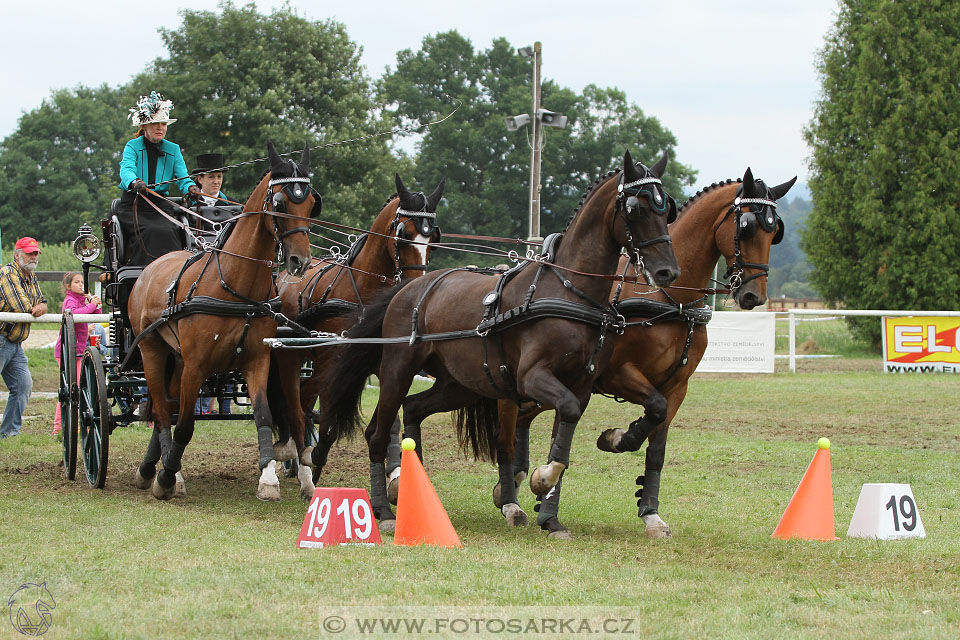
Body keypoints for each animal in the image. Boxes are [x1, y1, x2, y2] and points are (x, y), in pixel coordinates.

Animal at [126, 140, 316, 500]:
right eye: (280, 202)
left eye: (312, 203)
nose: (300, 261)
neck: (236, 287)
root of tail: (149, 269)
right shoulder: (197, 365)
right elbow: (185, 425)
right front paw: (166, 477)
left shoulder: (257, 360)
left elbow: (263, 414)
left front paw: (268, 478)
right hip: (152, 351)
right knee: (162, 413)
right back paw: (160, 473)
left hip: (178, 361)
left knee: (168, 406)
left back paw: (153, 466)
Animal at [270, 174, 446, 500]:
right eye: (403, 234)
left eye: (434, 241)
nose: (415, 289)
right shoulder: (336, 361)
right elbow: (329, 422)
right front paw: (316, 460)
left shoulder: (384, 365)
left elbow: (389, 423)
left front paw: (395, 479)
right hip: (293, 355)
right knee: (295, 405)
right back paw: (298, 460)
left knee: (305, 398)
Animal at [318, 151, 680, 528]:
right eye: (637, 209)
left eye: (665, 209)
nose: (668, 271)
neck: (570, 291)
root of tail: (409, 287)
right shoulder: (531, 377)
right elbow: (562, 416)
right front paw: (541, 479)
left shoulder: (582, 383)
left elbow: (579, 428)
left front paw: (615, 441)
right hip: (398, 371)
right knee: (377, 433)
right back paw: (385, 510)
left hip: (460, 384)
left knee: (414, 408)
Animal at [496, 169, 796, 536]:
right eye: (747, 226)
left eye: (775, 230)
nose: (754, 295)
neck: (670, 297)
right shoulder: (618, 374)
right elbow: (652, 408)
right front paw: (615, 438)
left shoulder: (677, 387)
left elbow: (657, 446)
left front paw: (650, 512)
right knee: (507, 429)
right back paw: (511, 500)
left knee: (526, 418)